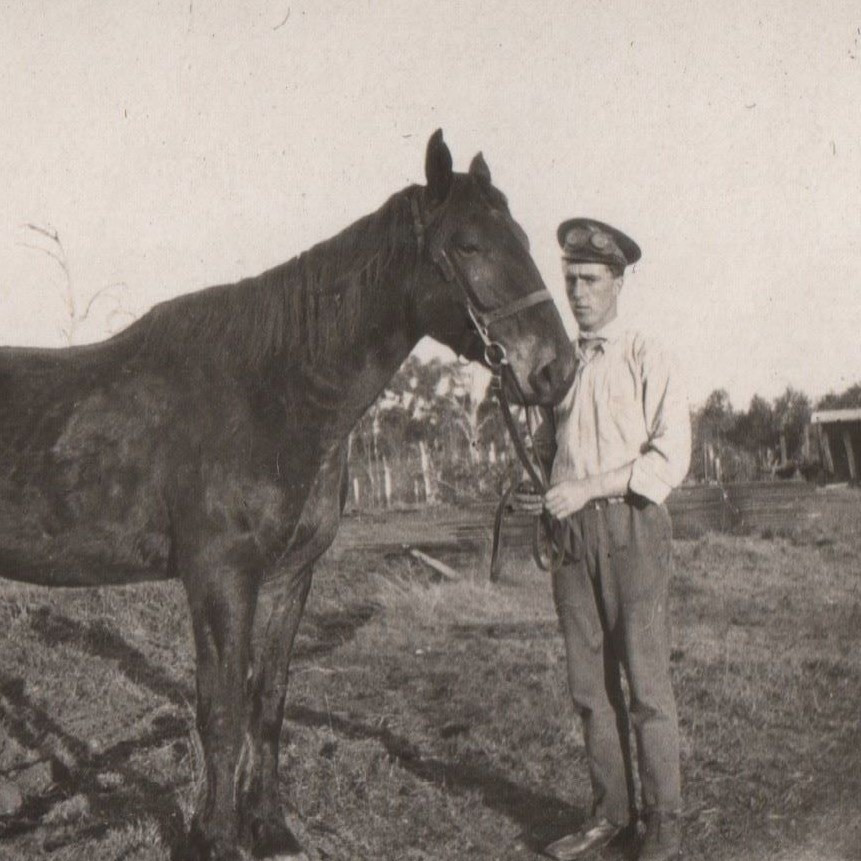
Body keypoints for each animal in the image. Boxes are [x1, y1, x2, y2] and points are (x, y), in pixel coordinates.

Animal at [0, 130, 576, 860]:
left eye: (524, 238)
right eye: (470, 244)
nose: (556, 369)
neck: (271, 392)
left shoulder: (289, 575)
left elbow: (267, 703)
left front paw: (271, 830)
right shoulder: (219, 575)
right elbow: (220, 710)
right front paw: (217, 840)